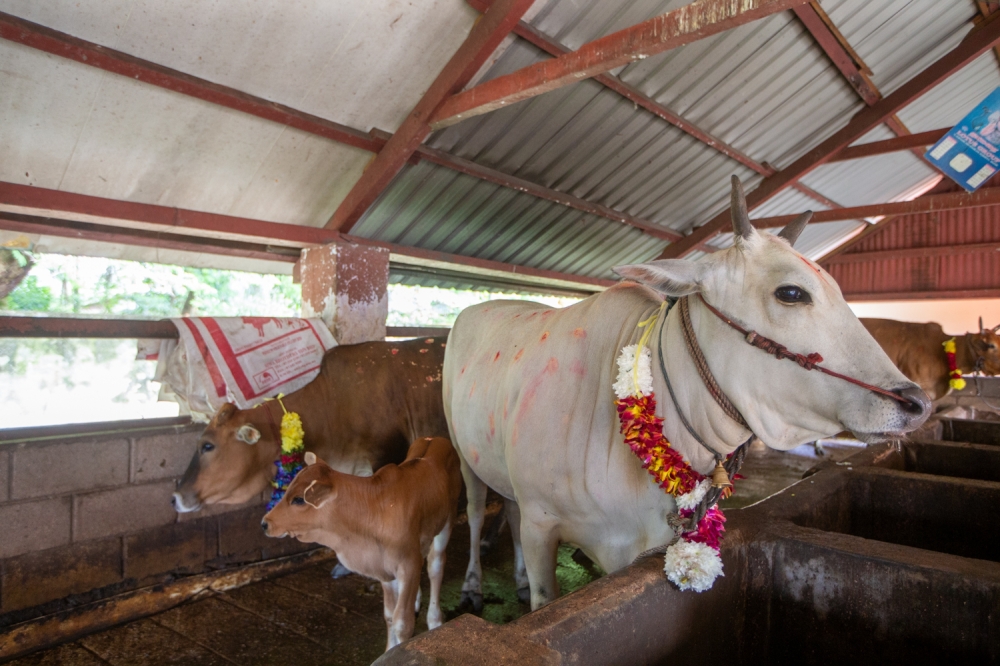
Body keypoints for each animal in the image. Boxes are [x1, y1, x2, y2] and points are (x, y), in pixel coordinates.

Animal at [258, 436, 460, 648]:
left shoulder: (408, 563)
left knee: (435, 566)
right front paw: (390, 649)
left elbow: (402, 623)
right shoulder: (383, 566)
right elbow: (389, 615)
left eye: (298, 499)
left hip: (447, 521)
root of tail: (435, 438)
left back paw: (435, 619)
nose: (265, 523)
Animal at [446, 175, 928, 608]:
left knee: (507, 506)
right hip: (462, 452)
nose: (916, 402)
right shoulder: (541, 526)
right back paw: (471, 585)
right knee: (476, 510)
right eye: (791, 292)